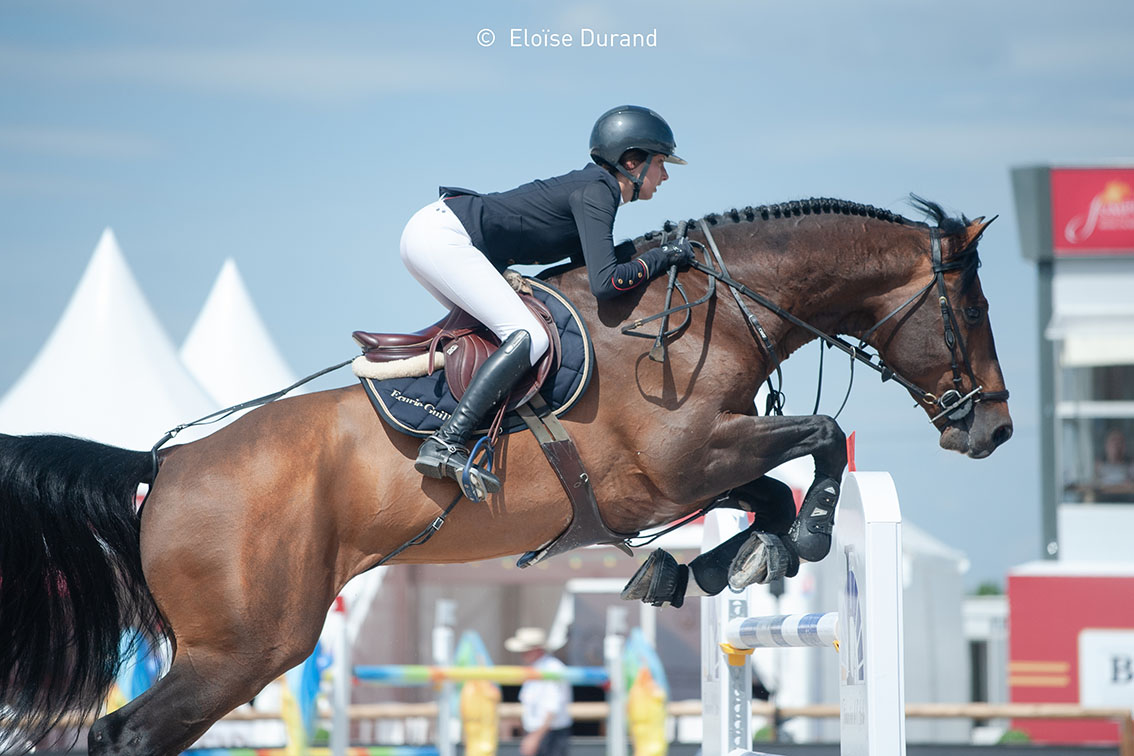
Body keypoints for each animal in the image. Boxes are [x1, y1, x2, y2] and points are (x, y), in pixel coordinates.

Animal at [0, 194, 1011, 752]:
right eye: (971, 309)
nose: (996, 429)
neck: (709, 314)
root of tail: (162, 465)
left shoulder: (689, 475)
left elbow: (767, 487)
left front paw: (713, 565)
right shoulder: (684, 462)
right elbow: (824, 439)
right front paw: (798, 535)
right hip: (246, 648)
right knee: (125, 733)